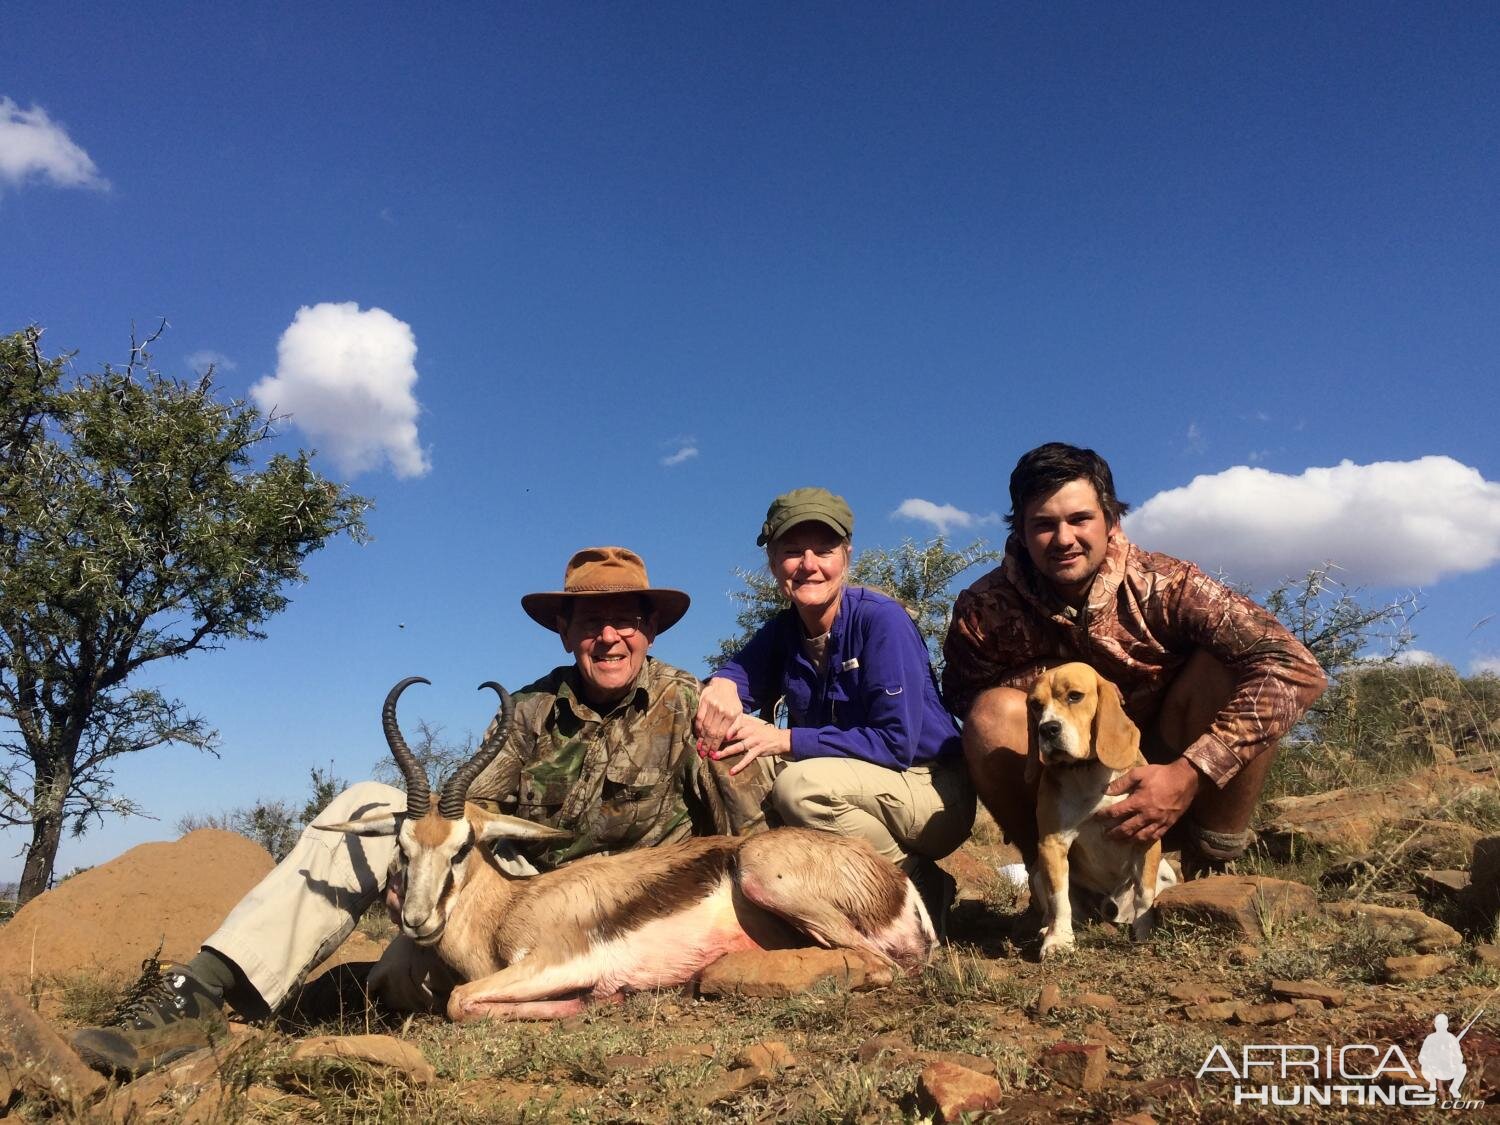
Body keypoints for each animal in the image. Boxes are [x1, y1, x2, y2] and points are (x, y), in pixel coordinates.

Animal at [1026, 660, 1176, 960]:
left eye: (1074, 696)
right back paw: (1047, 929)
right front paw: (1058, 941)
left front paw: (1144, 931)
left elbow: (1145, 894)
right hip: (1036, 874)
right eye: (1035, 704)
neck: (1088, 772)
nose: (1047, 729)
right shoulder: (1052, 843)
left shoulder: (1147, 836)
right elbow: (1059, 900)